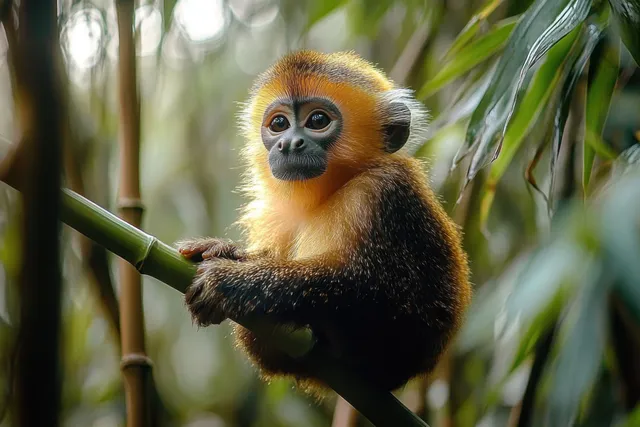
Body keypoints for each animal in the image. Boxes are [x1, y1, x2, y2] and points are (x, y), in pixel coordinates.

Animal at [177, 50, 472, 393]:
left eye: (318, 121)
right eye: (279, 124)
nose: (289, 143)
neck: (329, 192)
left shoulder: (384, 190)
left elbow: (386, 295)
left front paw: (231, 282)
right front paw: (224, 251)